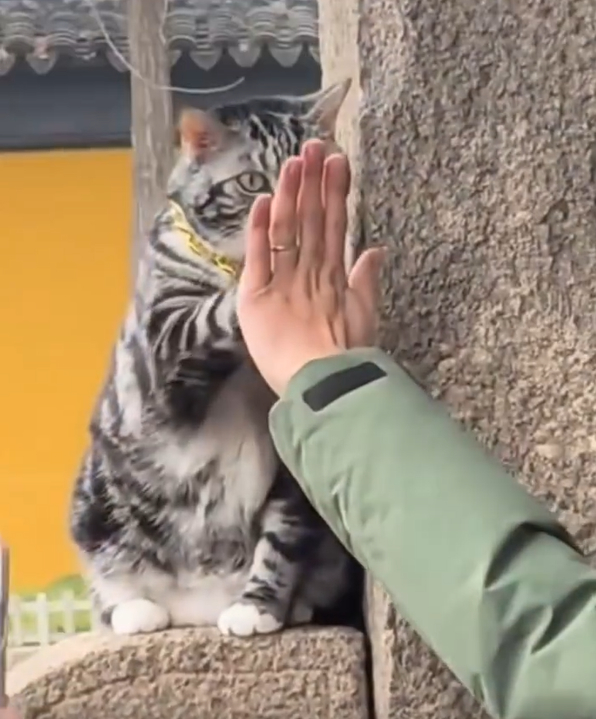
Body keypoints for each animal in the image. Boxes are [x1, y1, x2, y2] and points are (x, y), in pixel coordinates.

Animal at [70, 79, 358, 640]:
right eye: (250, 182)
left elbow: (281, 540)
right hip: (93, 497)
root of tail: (195, 605)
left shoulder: (290, 469)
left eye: (312, 167)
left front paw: (258, 606)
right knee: (105, 580)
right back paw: (136, 608)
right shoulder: (163, 353)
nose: (287, 218)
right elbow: (209, 317)